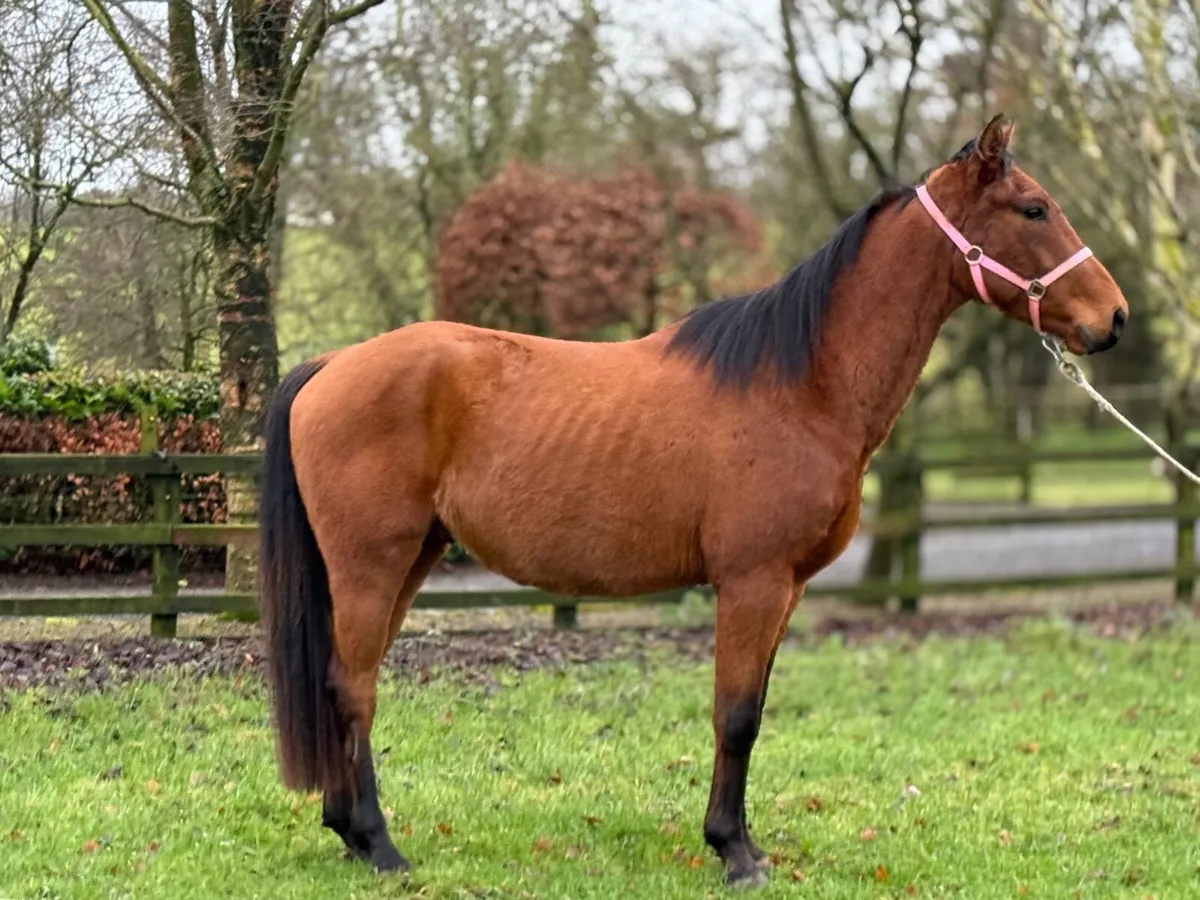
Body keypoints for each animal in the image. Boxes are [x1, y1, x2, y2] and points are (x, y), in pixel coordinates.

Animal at [257, 114, 1129, 888]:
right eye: (1034, 208)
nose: (1114, 318)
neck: (799, 385)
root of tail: (331, 364)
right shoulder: (751, 583)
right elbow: (735, 715)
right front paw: (734, 854)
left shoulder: (786, 590)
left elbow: (754, 711)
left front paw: (744, 843)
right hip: (372, 565)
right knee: (354, 687)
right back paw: (380, 846)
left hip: (410, 560)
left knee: (346, 682)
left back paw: (349, 833)